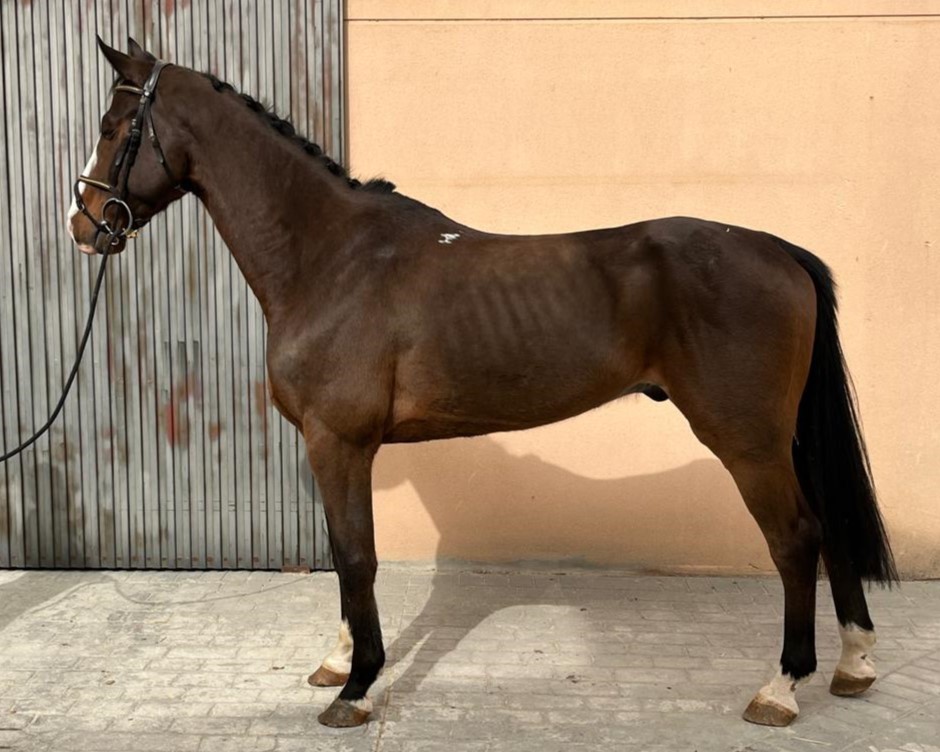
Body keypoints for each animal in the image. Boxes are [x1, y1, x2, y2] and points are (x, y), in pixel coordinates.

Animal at [68, 38, 896, 729]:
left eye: (115, 126)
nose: (84, 223)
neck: (332, 258)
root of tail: (779, 249)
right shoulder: (337, 448)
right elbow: (343, 552)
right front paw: (339, 661)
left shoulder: (339, 442)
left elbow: (357, 556)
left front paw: (357, 687)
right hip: (784, 438)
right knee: (831, 530)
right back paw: (854, 665)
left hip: (747, 440)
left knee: (795, 539)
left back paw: (781, 688)